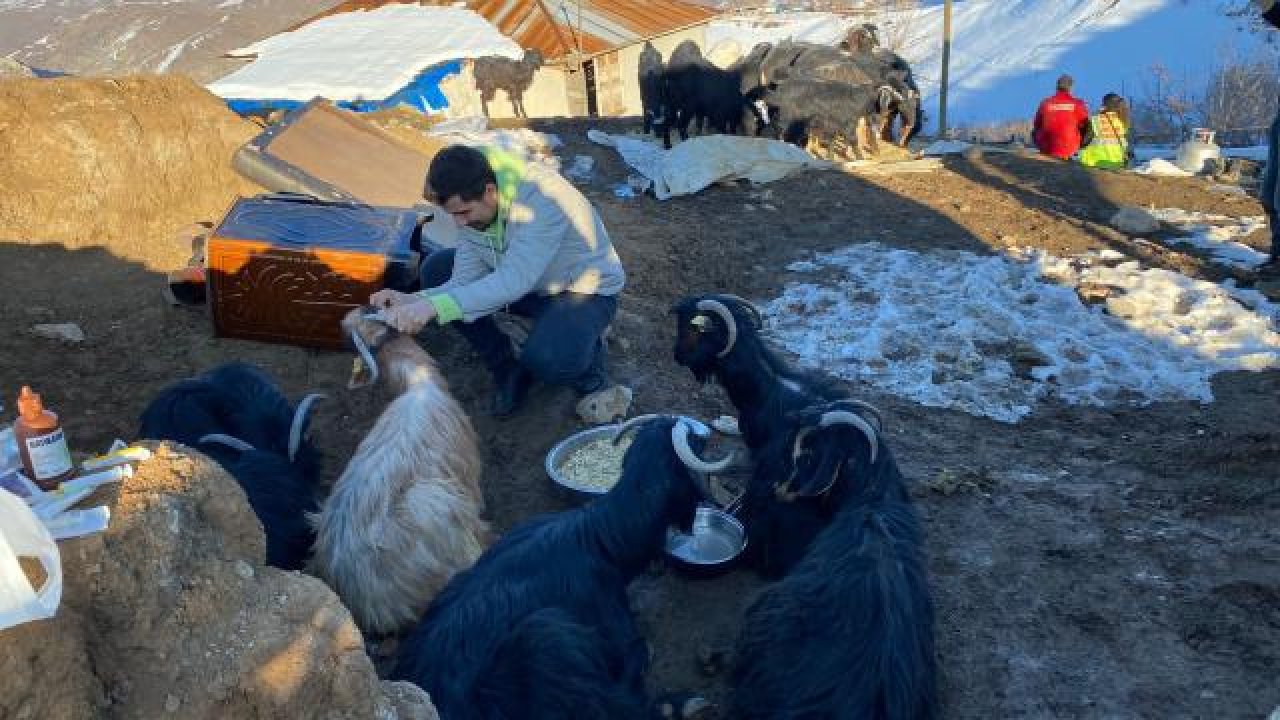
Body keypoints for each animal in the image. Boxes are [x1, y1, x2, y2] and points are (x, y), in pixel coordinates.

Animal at [389, 415, 732, 717]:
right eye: (697, 442)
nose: (707, 432)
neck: (600, 541)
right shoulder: (617, 635)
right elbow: (637, 658)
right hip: (545, 637)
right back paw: (681, 706)